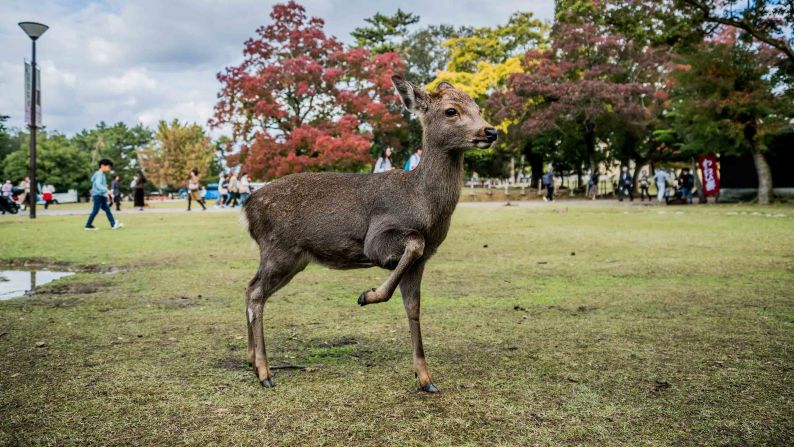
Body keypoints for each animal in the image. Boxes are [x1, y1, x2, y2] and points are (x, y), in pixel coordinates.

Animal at [243, 76, 496, 392]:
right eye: (451, 111)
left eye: (478, 107)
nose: (491, 131)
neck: (423, 203)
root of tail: (247, 207)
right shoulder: (377, 238)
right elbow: (413, 242)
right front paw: (367, 295)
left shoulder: (423, 261)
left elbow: (413, 307)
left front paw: (425, 378)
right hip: (279, 250)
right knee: (255, 294)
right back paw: (265, 372)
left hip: (291, 259)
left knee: (251, 288)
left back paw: (252, 360)